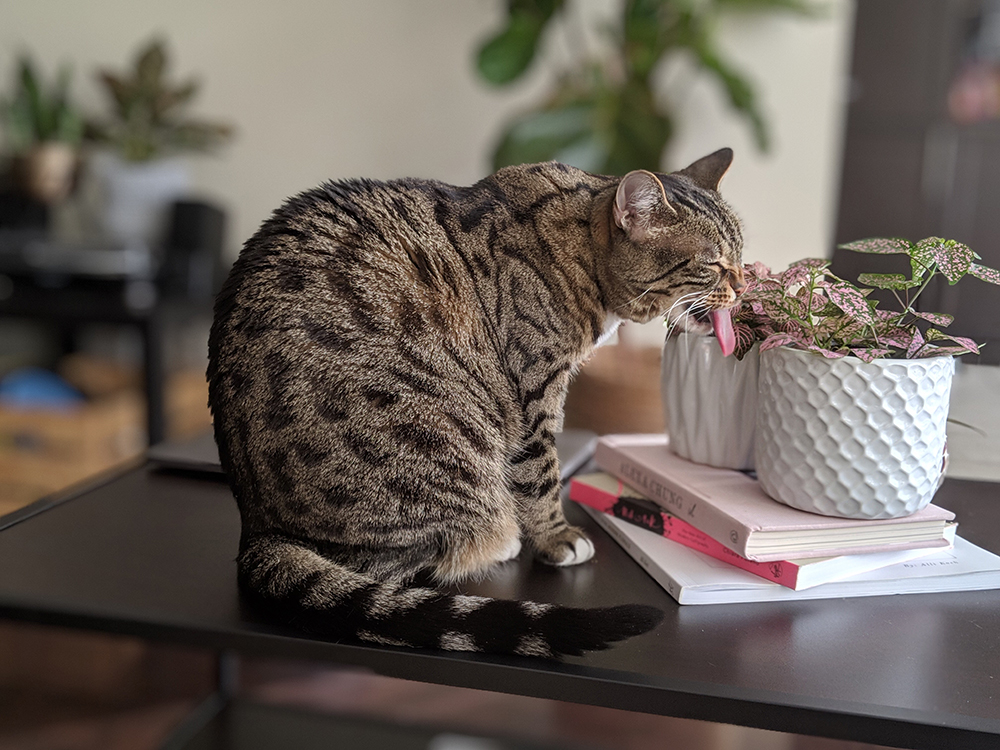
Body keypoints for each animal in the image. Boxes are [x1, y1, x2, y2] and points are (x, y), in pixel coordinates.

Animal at [209, 147, 744, 656]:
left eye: (739, 256)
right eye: (713, 263)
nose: (744, 285)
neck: (579, 250)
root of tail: (257, 530)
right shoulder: (535, 391)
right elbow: (541, 476)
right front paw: (557, 538)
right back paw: (497, 542)